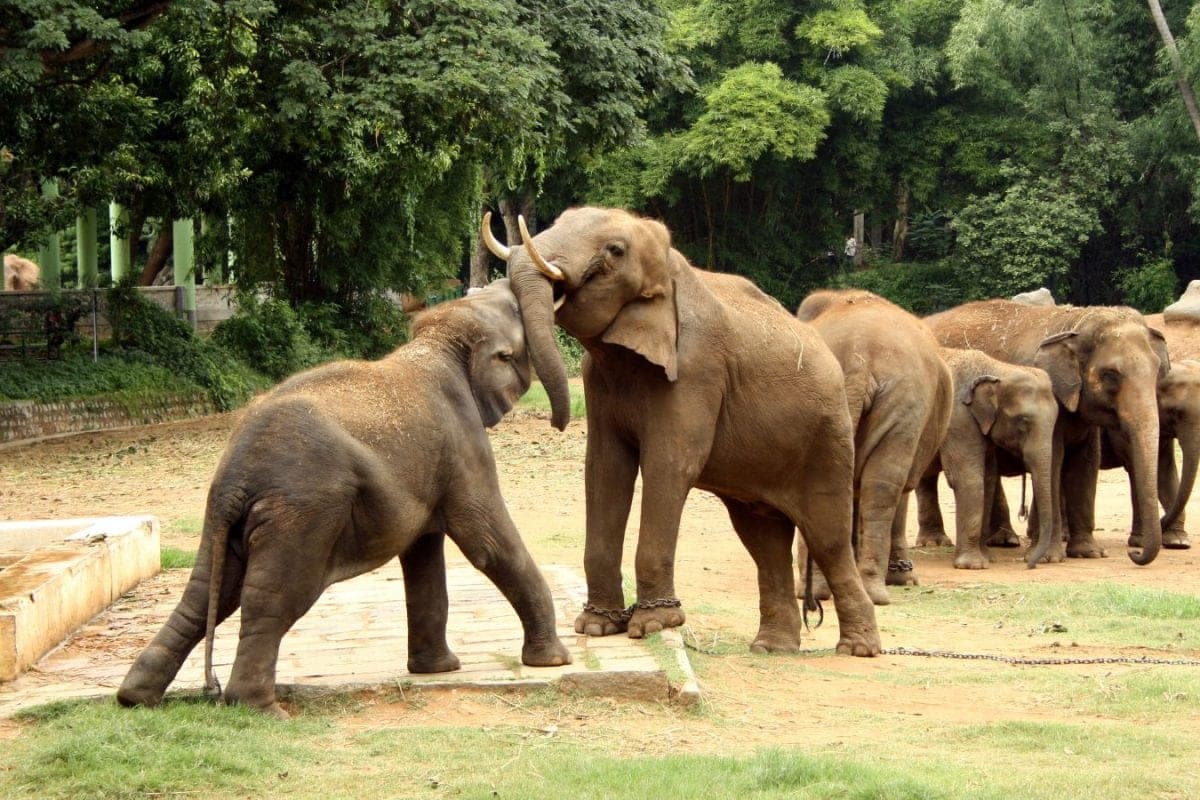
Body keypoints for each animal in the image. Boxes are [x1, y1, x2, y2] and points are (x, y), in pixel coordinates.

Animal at [117, 280, 571, 717]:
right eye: (515, 313)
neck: (438, 340)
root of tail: (236, 479)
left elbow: (423, 555)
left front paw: (439, 669)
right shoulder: (462, 445)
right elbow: (487, 544)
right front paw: (554, 661)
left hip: (220, 519)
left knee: (205, 594)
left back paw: (135, 698)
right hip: (302, 512)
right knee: (274, 598)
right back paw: (262, 710)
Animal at [484, 206, 880, 657]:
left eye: (615, 251)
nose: (556, 422)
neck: (670, 268)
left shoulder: (696, 370)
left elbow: (669, 467)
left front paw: (653, 625)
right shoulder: (598, 379)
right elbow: (605, 470)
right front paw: (597, 627)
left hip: (828, 438)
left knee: (826, 537)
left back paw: (857, 649)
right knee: (763, 540)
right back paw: (771, 648)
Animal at [795, 289, 953, 603]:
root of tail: (859, 360)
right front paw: (904, 579)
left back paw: (820, 591)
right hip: (904, 403)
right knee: (884, 485)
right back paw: (871, 591)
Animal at [914, 349, 1061, 568]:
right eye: (1023, 422)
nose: (1029, 563)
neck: (997, 368)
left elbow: (989, 479)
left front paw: (988, 558)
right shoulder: (958, 419)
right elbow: (969, 478)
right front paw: (973, 565)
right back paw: (930, 544)